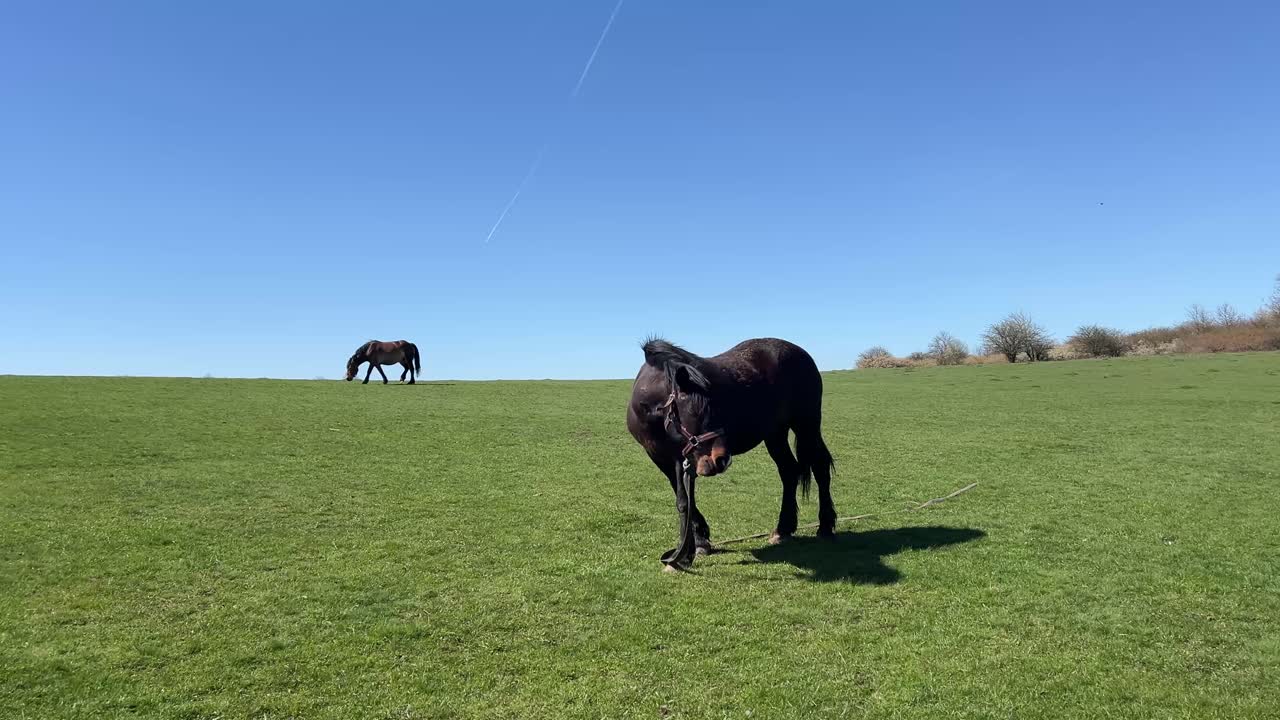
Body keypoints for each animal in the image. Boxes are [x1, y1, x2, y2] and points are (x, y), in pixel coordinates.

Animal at [626, 337, 837, 571]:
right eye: (695, 412)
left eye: (716, 407)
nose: (721, 459)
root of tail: (800, 353)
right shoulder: (664, 457)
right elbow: (684, 501)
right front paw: (697, 544)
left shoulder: (686, 458)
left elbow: (685, 500)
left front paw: (685, 554)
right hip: (775, 433)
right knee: (789, 471)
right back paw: (783, 529)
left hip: (806, 424)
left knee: (819, 467)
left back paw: (825, 526)